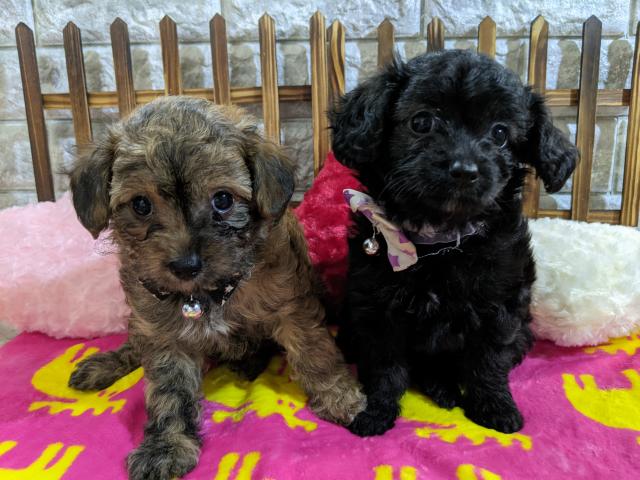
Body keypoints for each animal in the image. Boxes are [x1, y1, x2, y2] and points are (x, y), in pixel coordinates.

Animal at [67, 96, 365, 479]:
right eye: (140, 205)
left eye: (222, 200)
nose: (185, 265)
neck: (208, 293)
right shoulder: (164, 333)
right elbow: (169, 391)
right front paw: (167, 445)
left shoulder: (291, 306)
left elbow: (314, 351)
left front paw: (338, 396)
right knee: (135, 344)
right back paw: (106, 364)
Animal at [330, 50, 578, 437]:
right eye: (421, 122)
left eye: (501, 133)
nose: (464, 170)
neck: (440, 241)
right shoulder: (375, 306)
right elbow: (384, 366)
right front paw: (375, 411)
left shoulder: (500, 306)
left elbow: (488, 361)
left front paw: (496, 408)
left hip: (524, 333)